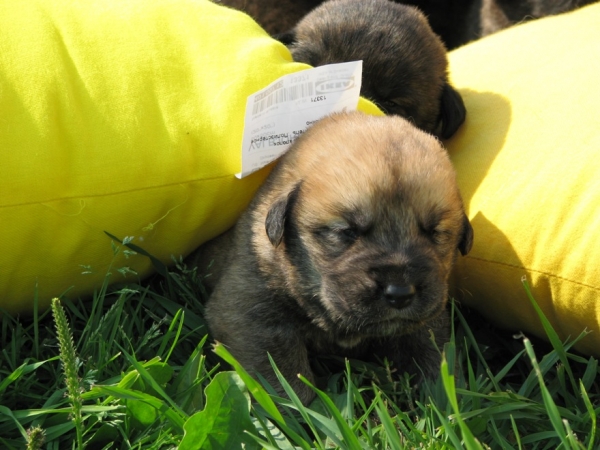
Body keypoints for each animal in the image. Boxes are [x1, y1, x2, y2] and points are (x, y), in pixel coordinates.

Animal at [192, 111, 474, 404]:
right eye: (347, 231)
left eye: (435, 232)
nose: (400, 294)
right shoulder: (250, 314)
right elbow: (282, 380)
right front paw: (304, 413)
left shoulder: (426, 321)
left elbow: (433, 355)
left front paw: (446, 400)